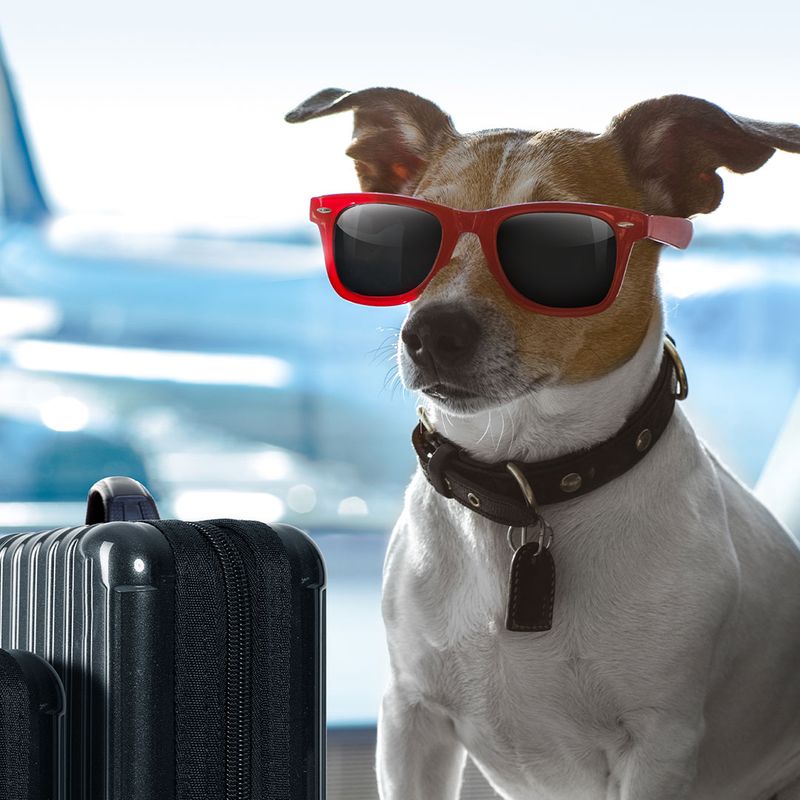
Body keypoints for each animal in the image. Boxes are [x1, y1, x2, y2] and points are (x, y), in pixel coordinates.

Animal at [286, 87, 800, 800]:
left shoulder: (658, 749)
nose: (431, 333)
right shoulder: (411, 717)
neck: (523, 483)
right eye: (404, 235)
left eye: (562, 245)